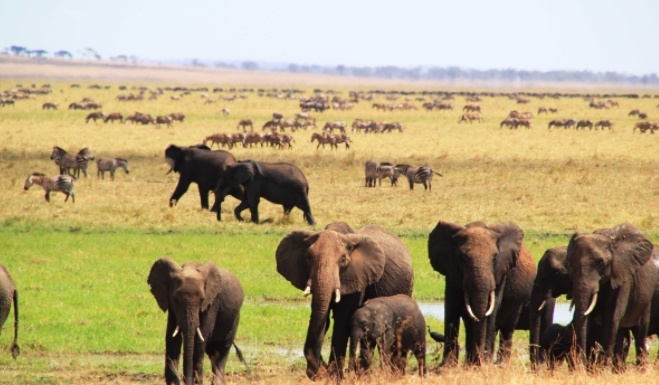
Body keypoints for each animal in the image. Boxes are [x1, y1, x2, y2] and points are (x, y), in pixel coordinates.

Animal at [278, 222, 412, 378]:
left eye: (343, 260)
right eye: (308, 257)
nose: (315, 371)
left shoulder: (358, 277)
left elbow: (342, 319)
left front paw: (335, 376)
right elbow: (322, 315)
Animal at [428, 220, 540, 364]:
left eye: (495, 257)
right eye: (462, 258)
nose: (483, 354)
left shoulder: (501, 272)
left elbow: (492, 308)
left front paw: (483, 363)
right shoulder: (451, 270)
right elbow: (451, 308)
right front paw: (447, 366)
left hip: (520, 299)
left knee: (507, 326)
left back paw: (500, 363)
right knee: (470, 326)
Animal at [568, 222, 659, 368]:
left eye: (601, 263)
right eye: (571, 265)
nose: (579, 364)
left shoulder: (622, 276)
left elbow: (612, 317)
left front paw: (602, 369)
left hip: (646, 299)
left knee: (640, 332)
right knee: (621, 333)